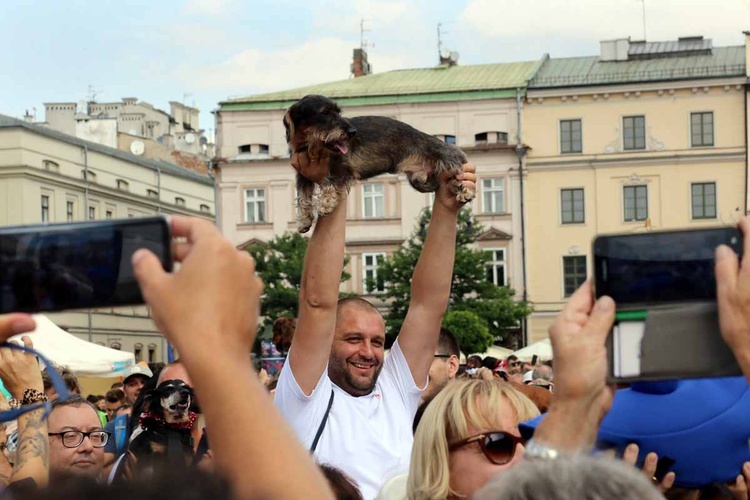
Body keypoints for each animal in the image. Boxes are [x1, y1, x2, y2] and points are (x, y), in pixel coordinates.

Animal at [284, 94, 476, 232]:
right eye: (325, 113)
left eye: (338, 112)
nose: (352, 132)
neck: (310, 146)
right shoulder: (302, 175)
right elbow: (303, 196)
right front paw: (304, 220)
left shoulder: (341, 169)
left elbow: (329, 184)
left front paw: (325, 204)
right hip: (419, 181)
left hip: (444, 157)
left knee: (458, 167)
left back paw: (465, 191)